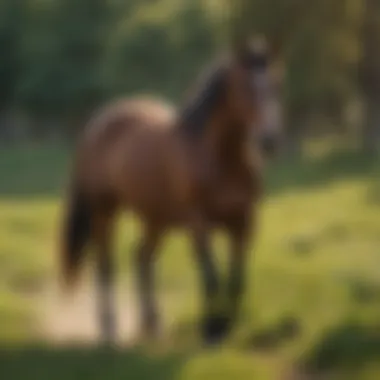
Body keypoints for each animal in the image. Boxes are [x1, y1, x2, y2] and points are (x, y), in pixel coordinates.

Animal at [60, 37, 282, 346]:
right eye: (244, 87)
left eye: (274, 84)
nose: (269, 140)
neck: (218, 158)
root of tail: (97, 125)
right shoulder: (198, 223)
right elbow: (210, 274)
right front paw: (212, 329)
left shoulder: (244, 223)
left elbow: (237, 279)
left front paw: (228, 327)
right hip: (105, 212)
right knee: (105, 262)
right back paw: (109, 328)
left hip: (156, 219)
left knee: (141, 257)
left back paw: (151, 322)